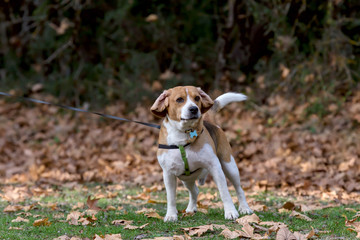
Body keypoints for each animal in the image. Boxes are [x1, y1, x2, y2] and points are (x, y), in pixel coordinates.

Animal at [150, 86, 252, 221]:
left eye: (197, 98)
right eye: (179, 99)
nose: (194, 109)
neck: (183, 135)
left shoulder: (215, 168)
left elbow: (224, 192)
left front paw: (230, 211)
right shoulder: (168, 173)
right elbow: (171, 197)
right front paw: (171, 215)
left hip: (230, 166)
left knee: (239, 189)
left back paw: (245, 208)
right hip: (186, 178)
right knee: (195, 191)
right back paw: (191, 208)